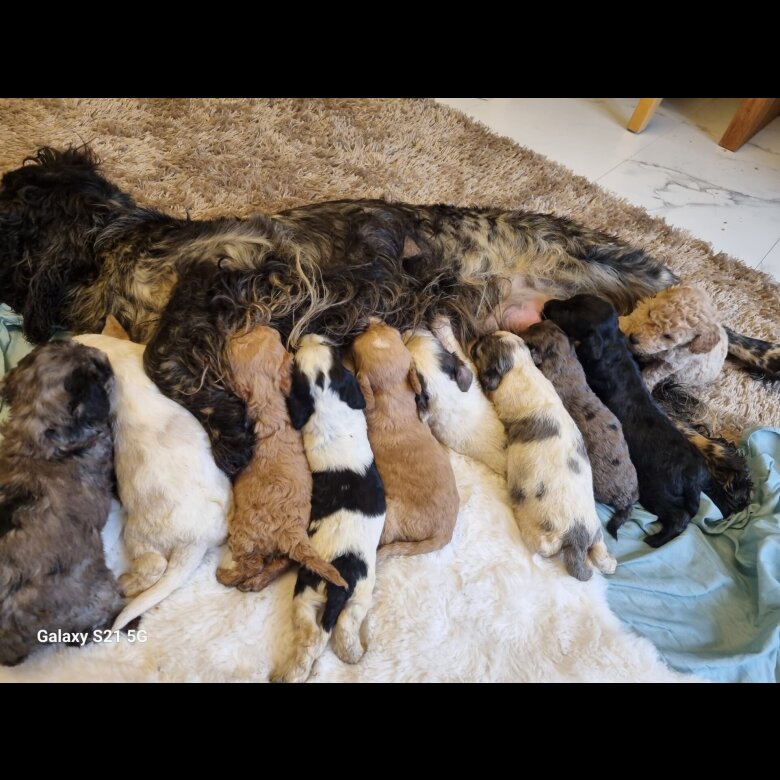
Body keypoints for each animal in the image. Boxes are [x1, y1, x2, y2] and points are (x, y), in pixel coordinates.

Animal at [216, 326, 346, 592]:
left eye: (239, 342)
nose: (260, 325)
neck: (269, 402)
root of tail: (292, 533)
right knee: (282, 562)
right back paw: (256, 582)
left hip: (244, 536)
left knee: (252, 563)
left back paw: (228, 576)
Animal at [274, 335, 386, 682]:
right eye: (336, 355)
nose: (310, 335)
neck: (326, 402)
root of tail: (340, 566)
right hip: (359, 591)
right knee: (340, 626)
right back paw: (352, 654)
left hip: (308, 592)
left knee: (313, 632)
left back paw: (295, 671)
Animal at [351, 322, 460, 557]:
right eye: (386, 326)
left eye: (354, 348)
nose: (370, 321)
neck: (392, 394)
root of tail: (444, 534)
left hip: (391, 515)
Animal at [470, 331, 616, 580]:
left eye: (480, 348)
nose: (475, 338)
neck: (521, 368)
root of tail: (577, 536)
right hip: (596, 532)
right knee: (600, 553)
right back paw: (610, 562)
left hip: (544, 531)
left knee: (546, 547)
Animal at [543, 294, 736, 546]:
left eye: (569, 312)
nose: (546, 305)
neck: (613, 347)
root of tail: (695, 478)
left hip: (655, 490)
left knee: (679, 517)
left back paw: (655, 540)